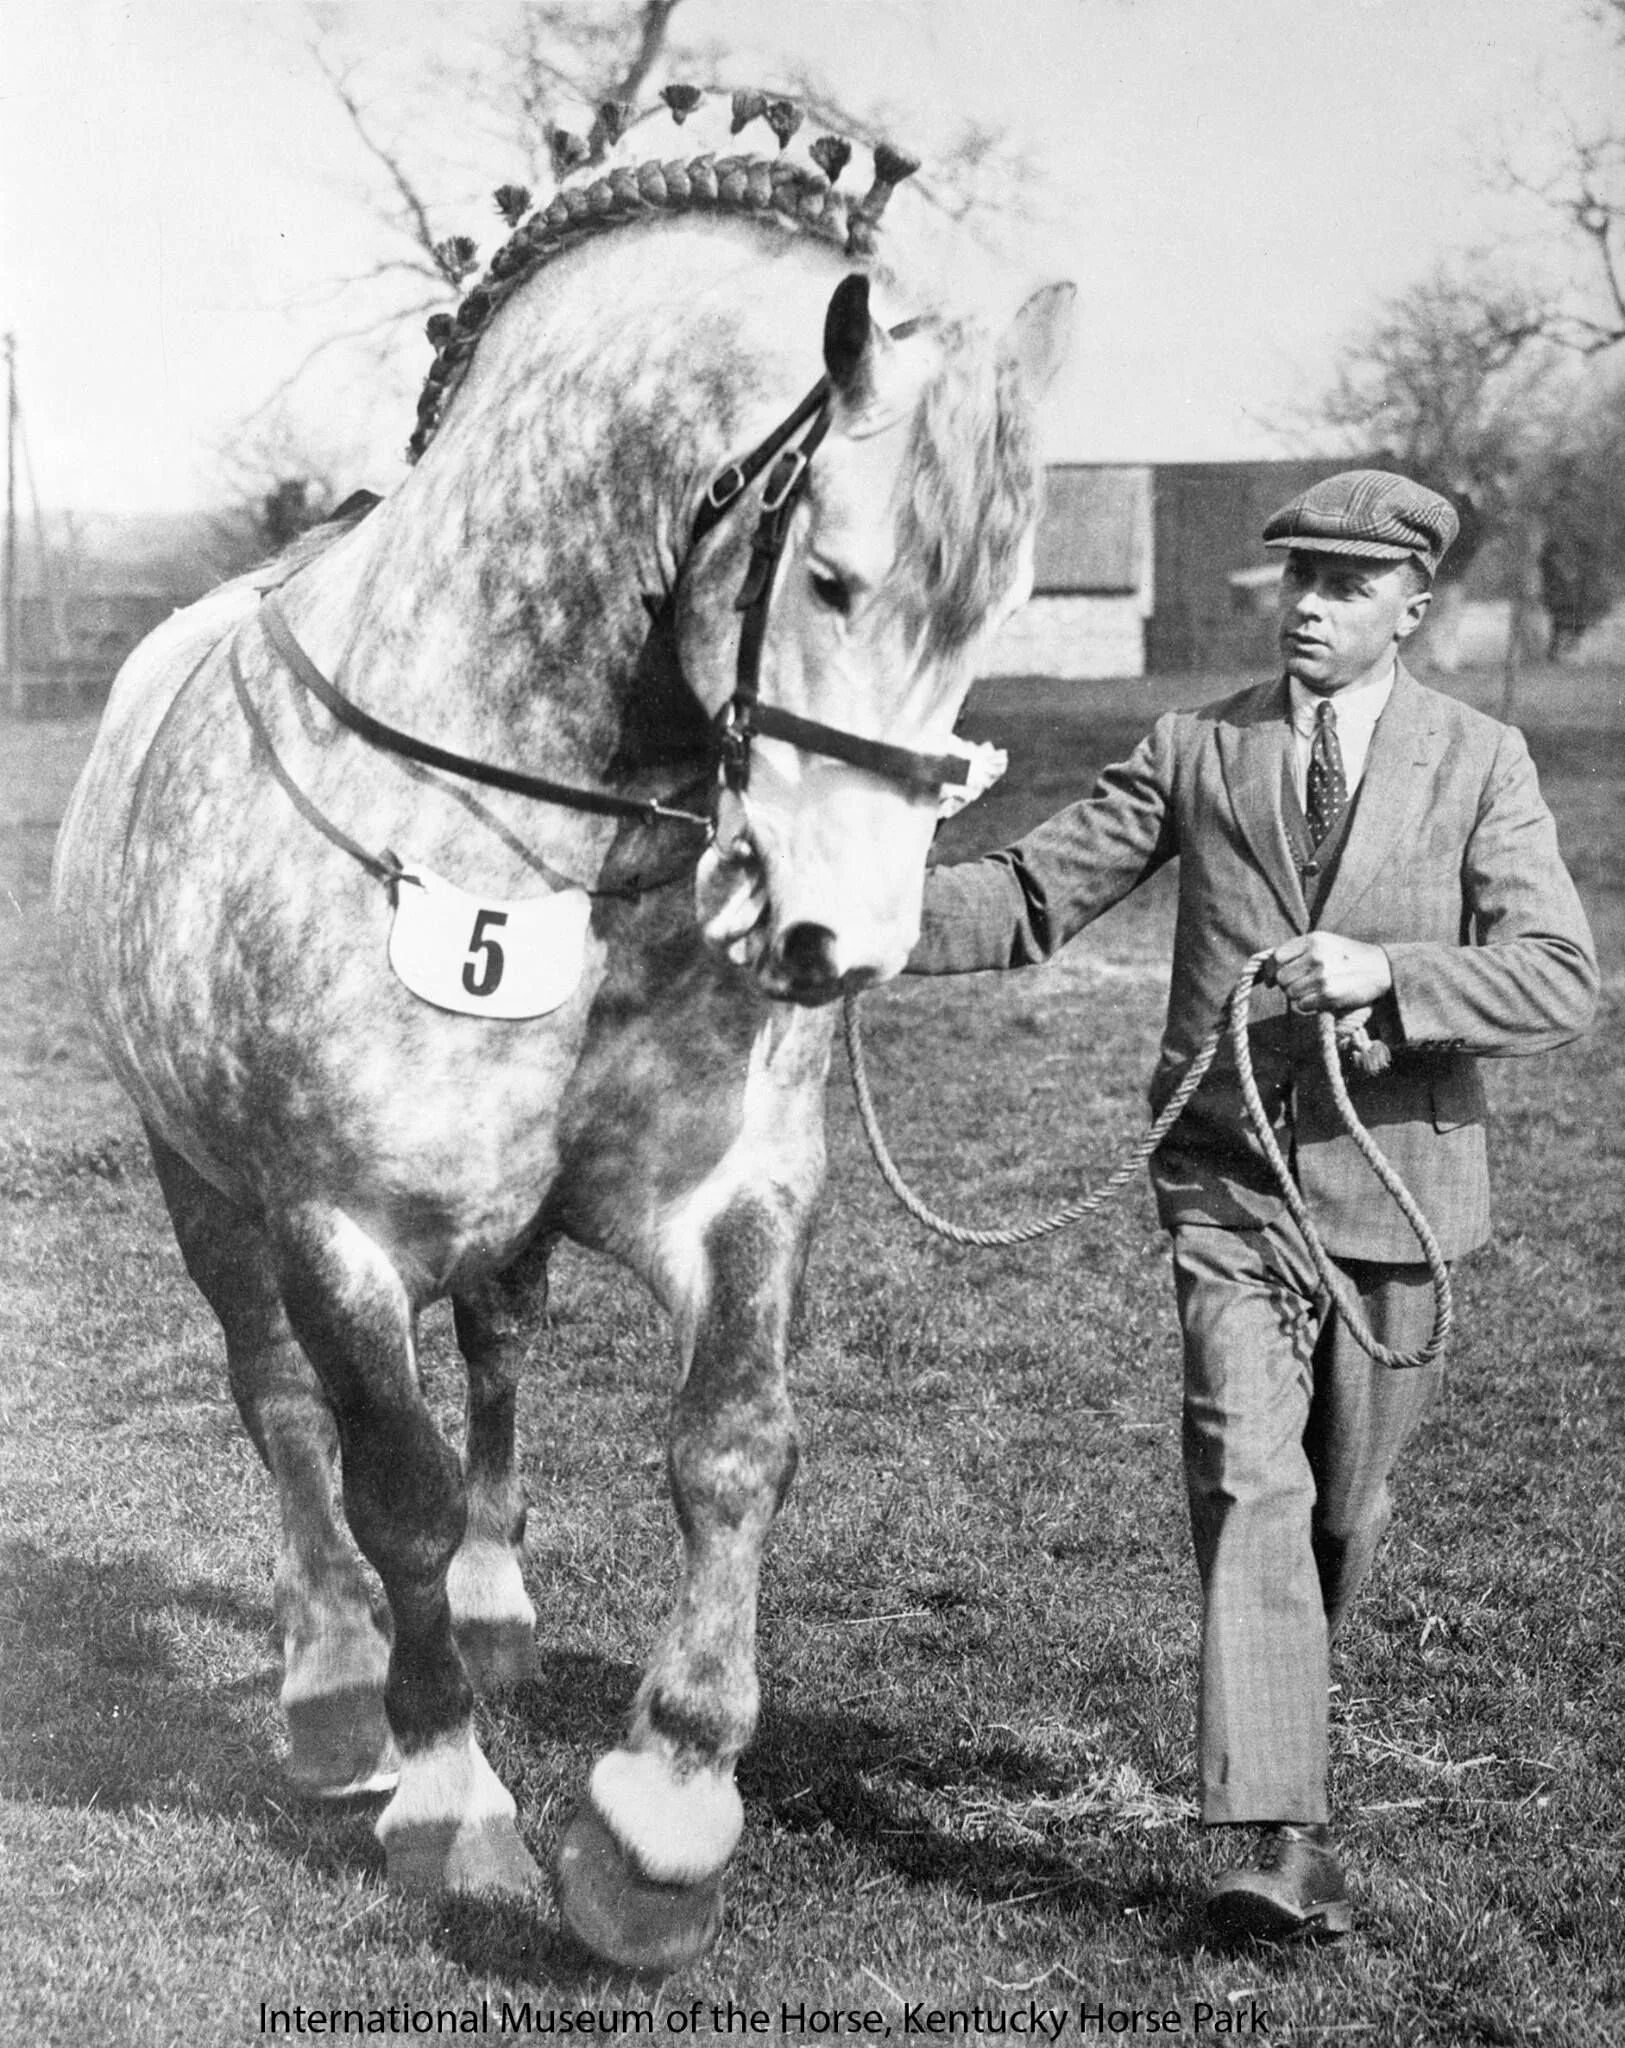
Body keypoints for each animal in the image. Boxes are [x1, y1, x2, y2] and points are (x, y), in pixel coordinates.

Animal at [50, 119, 1073, 1974]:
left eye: (997, 608)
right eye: (832, 577)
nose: (837, 940)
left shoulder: (732, 1198)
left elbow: (732, 1443)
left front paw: (662, 1817)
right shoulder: (342, 1227)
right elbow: (387, 1476)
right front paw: (451, 1804)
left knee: (504, 1353)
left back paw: (495, 1607)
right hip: (198, 1183)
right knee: (281, 1408)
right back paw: (334, 1690)